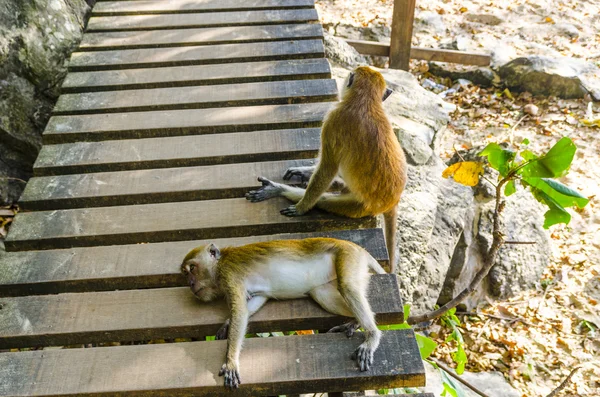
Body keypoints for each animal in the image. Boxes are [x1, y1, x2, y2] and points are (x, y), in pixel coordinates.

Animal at [180, 237, 384, 388]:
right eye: (185, 273)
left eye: (192, 269)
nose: (190, 284)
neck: (219, 265)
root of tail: (357, 247)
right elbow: (252, 303)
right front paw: (227, 324)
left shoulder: (229, 275)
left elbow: (240, 311)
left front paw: (231, 360)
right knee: (322, 293)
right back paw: (354, 322)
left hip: (348, 256)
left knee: (347, 285)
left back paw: (372, 334)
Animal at [245, 66, 408, 274]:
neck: (367, 103)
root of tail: (393, 200)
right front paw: (305, 171)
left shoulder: (333, 121)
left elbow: (327, 168)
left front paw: (301, 207)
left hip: (363, 206)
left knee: (325, 199)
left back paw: (279, 190)